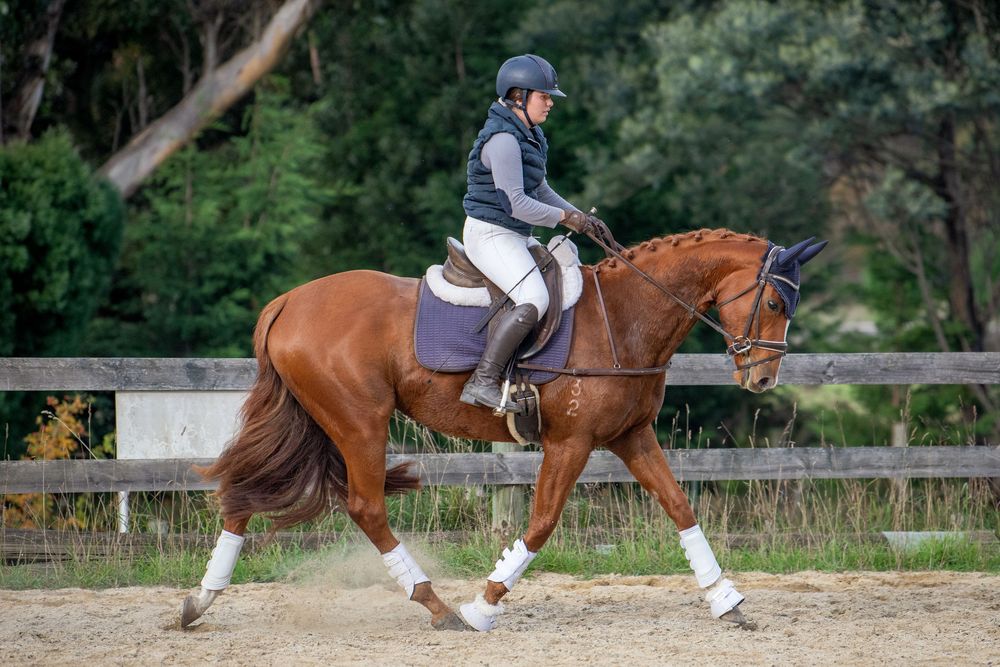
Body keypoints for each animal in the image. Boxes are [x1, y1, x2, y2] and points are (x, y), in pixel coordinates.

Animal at [179, 228, 827, 631]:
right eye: (774, 302)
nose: (763, 378)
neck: (623, 316)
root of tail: (289, 301)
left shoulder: (631, 436)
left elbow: (680, 507)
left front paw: (727, 602)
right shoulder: (571, 443)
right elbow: (540, 525)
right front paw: (484, 607)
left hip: (313, 422)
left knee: (245, 490)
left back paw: (200, 599)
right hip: (359, 423)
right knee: (364, 506)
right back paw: (439, 607)